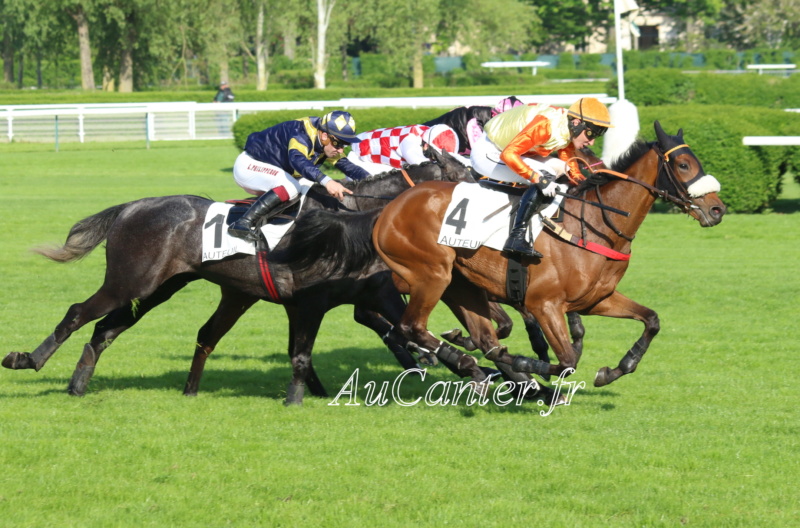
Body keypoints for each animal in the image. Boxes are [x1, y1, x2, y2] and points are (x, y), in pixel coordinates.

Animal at [288, 121, 724, 390]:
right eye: (683, 163)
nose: (718, 209)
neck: (595, 221)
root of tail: (385, 209)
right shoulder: (544, 303)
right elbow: (565, 358)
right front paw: (533, 367)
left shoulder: (596, 299)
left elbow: (650, 320)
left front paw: (616, 368)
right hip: (431, 275)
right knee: (409, 326)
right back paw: (469, 364)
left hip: (457, 283)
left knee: (462, 333)